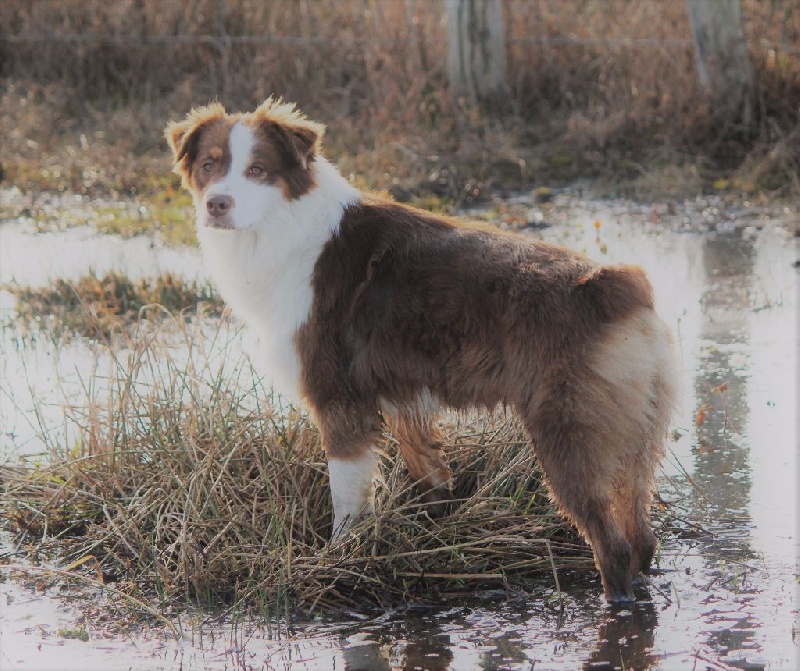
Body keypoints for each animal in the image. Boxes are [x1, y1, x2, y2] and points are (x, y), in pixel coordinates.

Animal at [166, 98, 680, 604]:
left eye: (258, 170)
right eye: (210, 165)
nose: (217, 204)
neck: (284, 228)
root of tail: (614, 285)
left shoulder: (341, 403)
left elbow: (347, 499)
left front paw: (339, 559)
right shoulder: (403, 401)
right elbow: (432, 479)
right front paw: (435, 539)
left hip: (570, 435)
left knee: (613, 546)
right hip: (635, 434)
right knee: (641, 534)